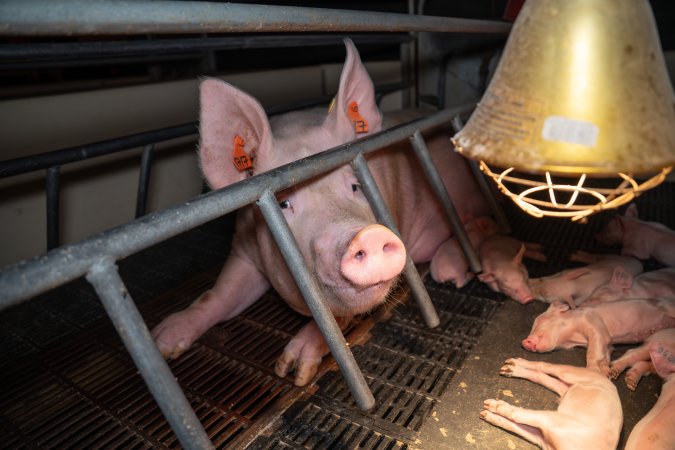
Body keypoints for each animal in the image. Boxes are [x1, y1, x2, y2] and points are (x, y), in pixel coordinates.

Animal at [151, 38, 488, 384]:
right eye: (283, 203)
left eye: (355, 185)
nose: (367, 235)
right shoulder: (244, 248)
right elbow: (218, 294)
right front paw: (161, 340)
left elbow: (335, 320)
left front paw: (294, 369)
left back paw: (450, 271)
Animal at [480, 356, 624, 448]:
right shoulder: (552, 419)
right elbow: (516, 416)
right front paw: (495, 406)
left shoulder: (542, 437)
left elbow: (514, 424)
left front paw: (490, 414)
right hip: (569, 373)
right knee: (544, 366)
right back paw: (514, 364)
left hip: (565, 388)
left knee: (540, 376)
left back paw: (512, 370)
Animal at [524, 298, 675, 376]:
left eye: (539, 321)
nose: (524, 342)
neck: (575, 337)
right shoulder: (607, 345)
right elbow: (605, 355)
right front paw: (606, 374)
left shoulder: (597, 327)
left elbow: (592, 351)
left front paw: (592, 371)